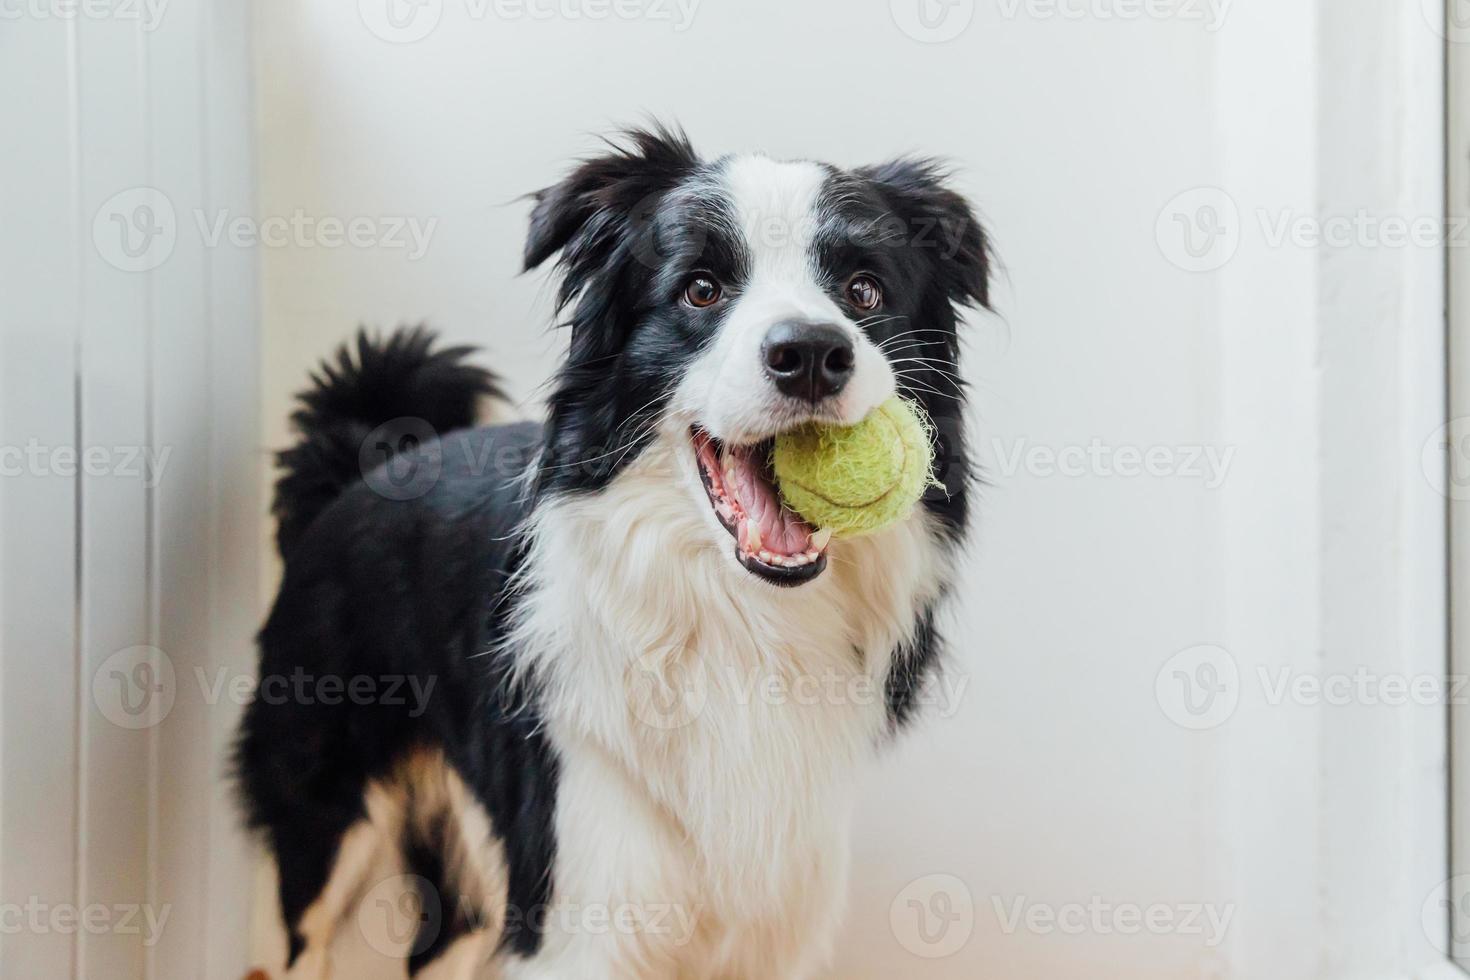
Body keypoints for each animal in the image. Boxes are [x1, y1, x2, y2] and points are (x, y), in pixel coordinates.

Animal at [235, 128, 993, 980]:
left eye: (864, 292)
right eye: (700, 290)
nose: (811, 353)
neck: (740, 621)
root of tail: (360, 469)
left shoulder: (775, 913)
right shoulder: (583, 903)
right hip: (323, 807)